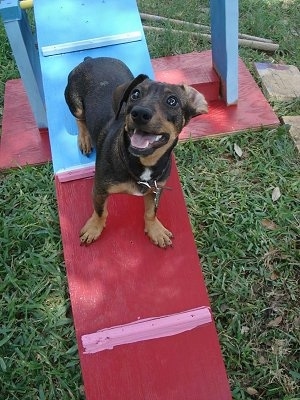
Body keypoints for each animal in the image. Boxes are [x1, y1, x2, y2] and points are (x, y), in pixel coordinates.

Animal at [64, 57, 207, 248]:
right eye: (135, 94)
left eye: (172, 101)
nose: (139, 113)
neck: (143, 163)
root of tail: (90, 59)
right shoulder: (100, 189)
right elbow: (100, 211)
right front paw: (93, 228)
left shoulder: (156, 190)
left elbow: (151, 212)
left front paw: (155, 230)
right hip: (75, 102)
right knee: (79, 118)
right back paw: (85, 139)